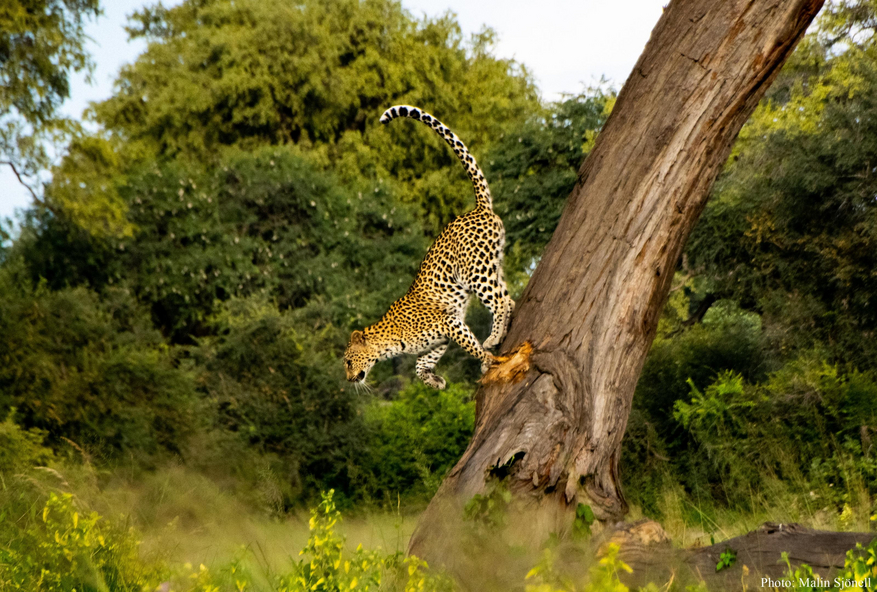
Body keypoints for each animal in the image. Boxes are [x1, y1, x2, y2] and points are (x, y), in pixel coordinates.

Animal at [342, 103, 516, 388]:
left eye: (348, 361)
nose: (348, 380)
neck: (389, 342)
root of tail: (478, 208)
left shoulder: (449, 324)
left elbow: (470, 346)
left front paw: (485, 360)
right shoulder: (439, 339)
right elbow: (419, 365)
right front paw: (434, 381)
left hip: (474, 272)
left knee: (499, 301)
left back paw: (494, 337)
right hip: (492, 264)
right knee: (507, 297)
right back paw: (500, 334)